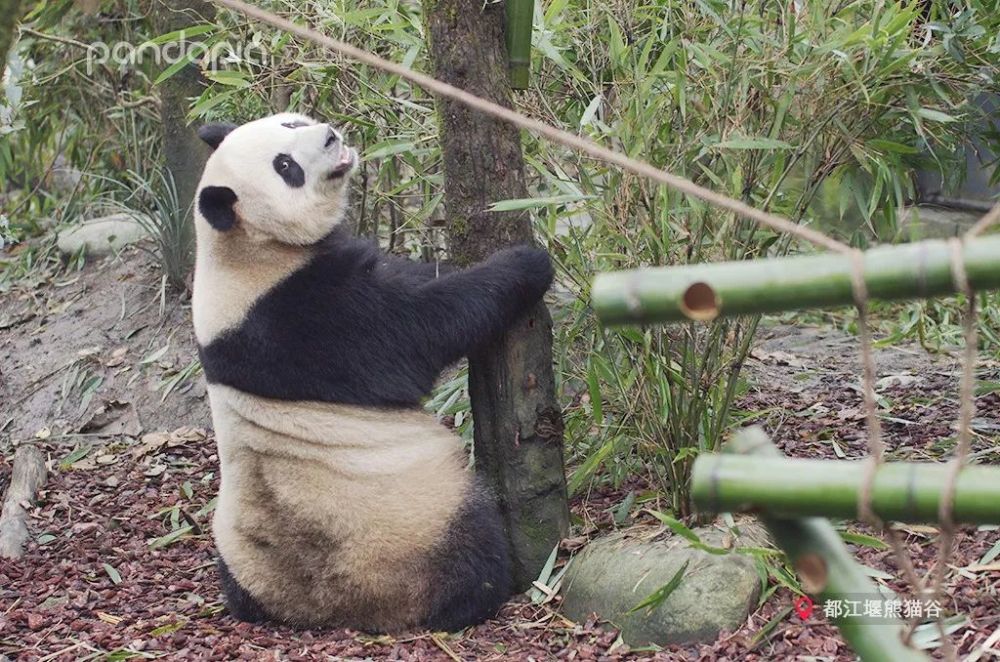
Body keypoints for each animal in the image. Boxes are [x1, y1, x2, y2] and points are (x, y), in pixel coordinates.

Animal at [191, 113, 560, 632]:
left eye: (291, 122)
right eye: (285, 167)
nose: (330, 136)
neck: (246, 249)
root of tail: (332, 610)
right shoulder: (293, 318)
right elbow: (412, 331)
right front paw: (526, 262)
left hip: (240, 556)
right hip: (412, 520)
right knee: (472, 549)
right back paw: (476, 594)